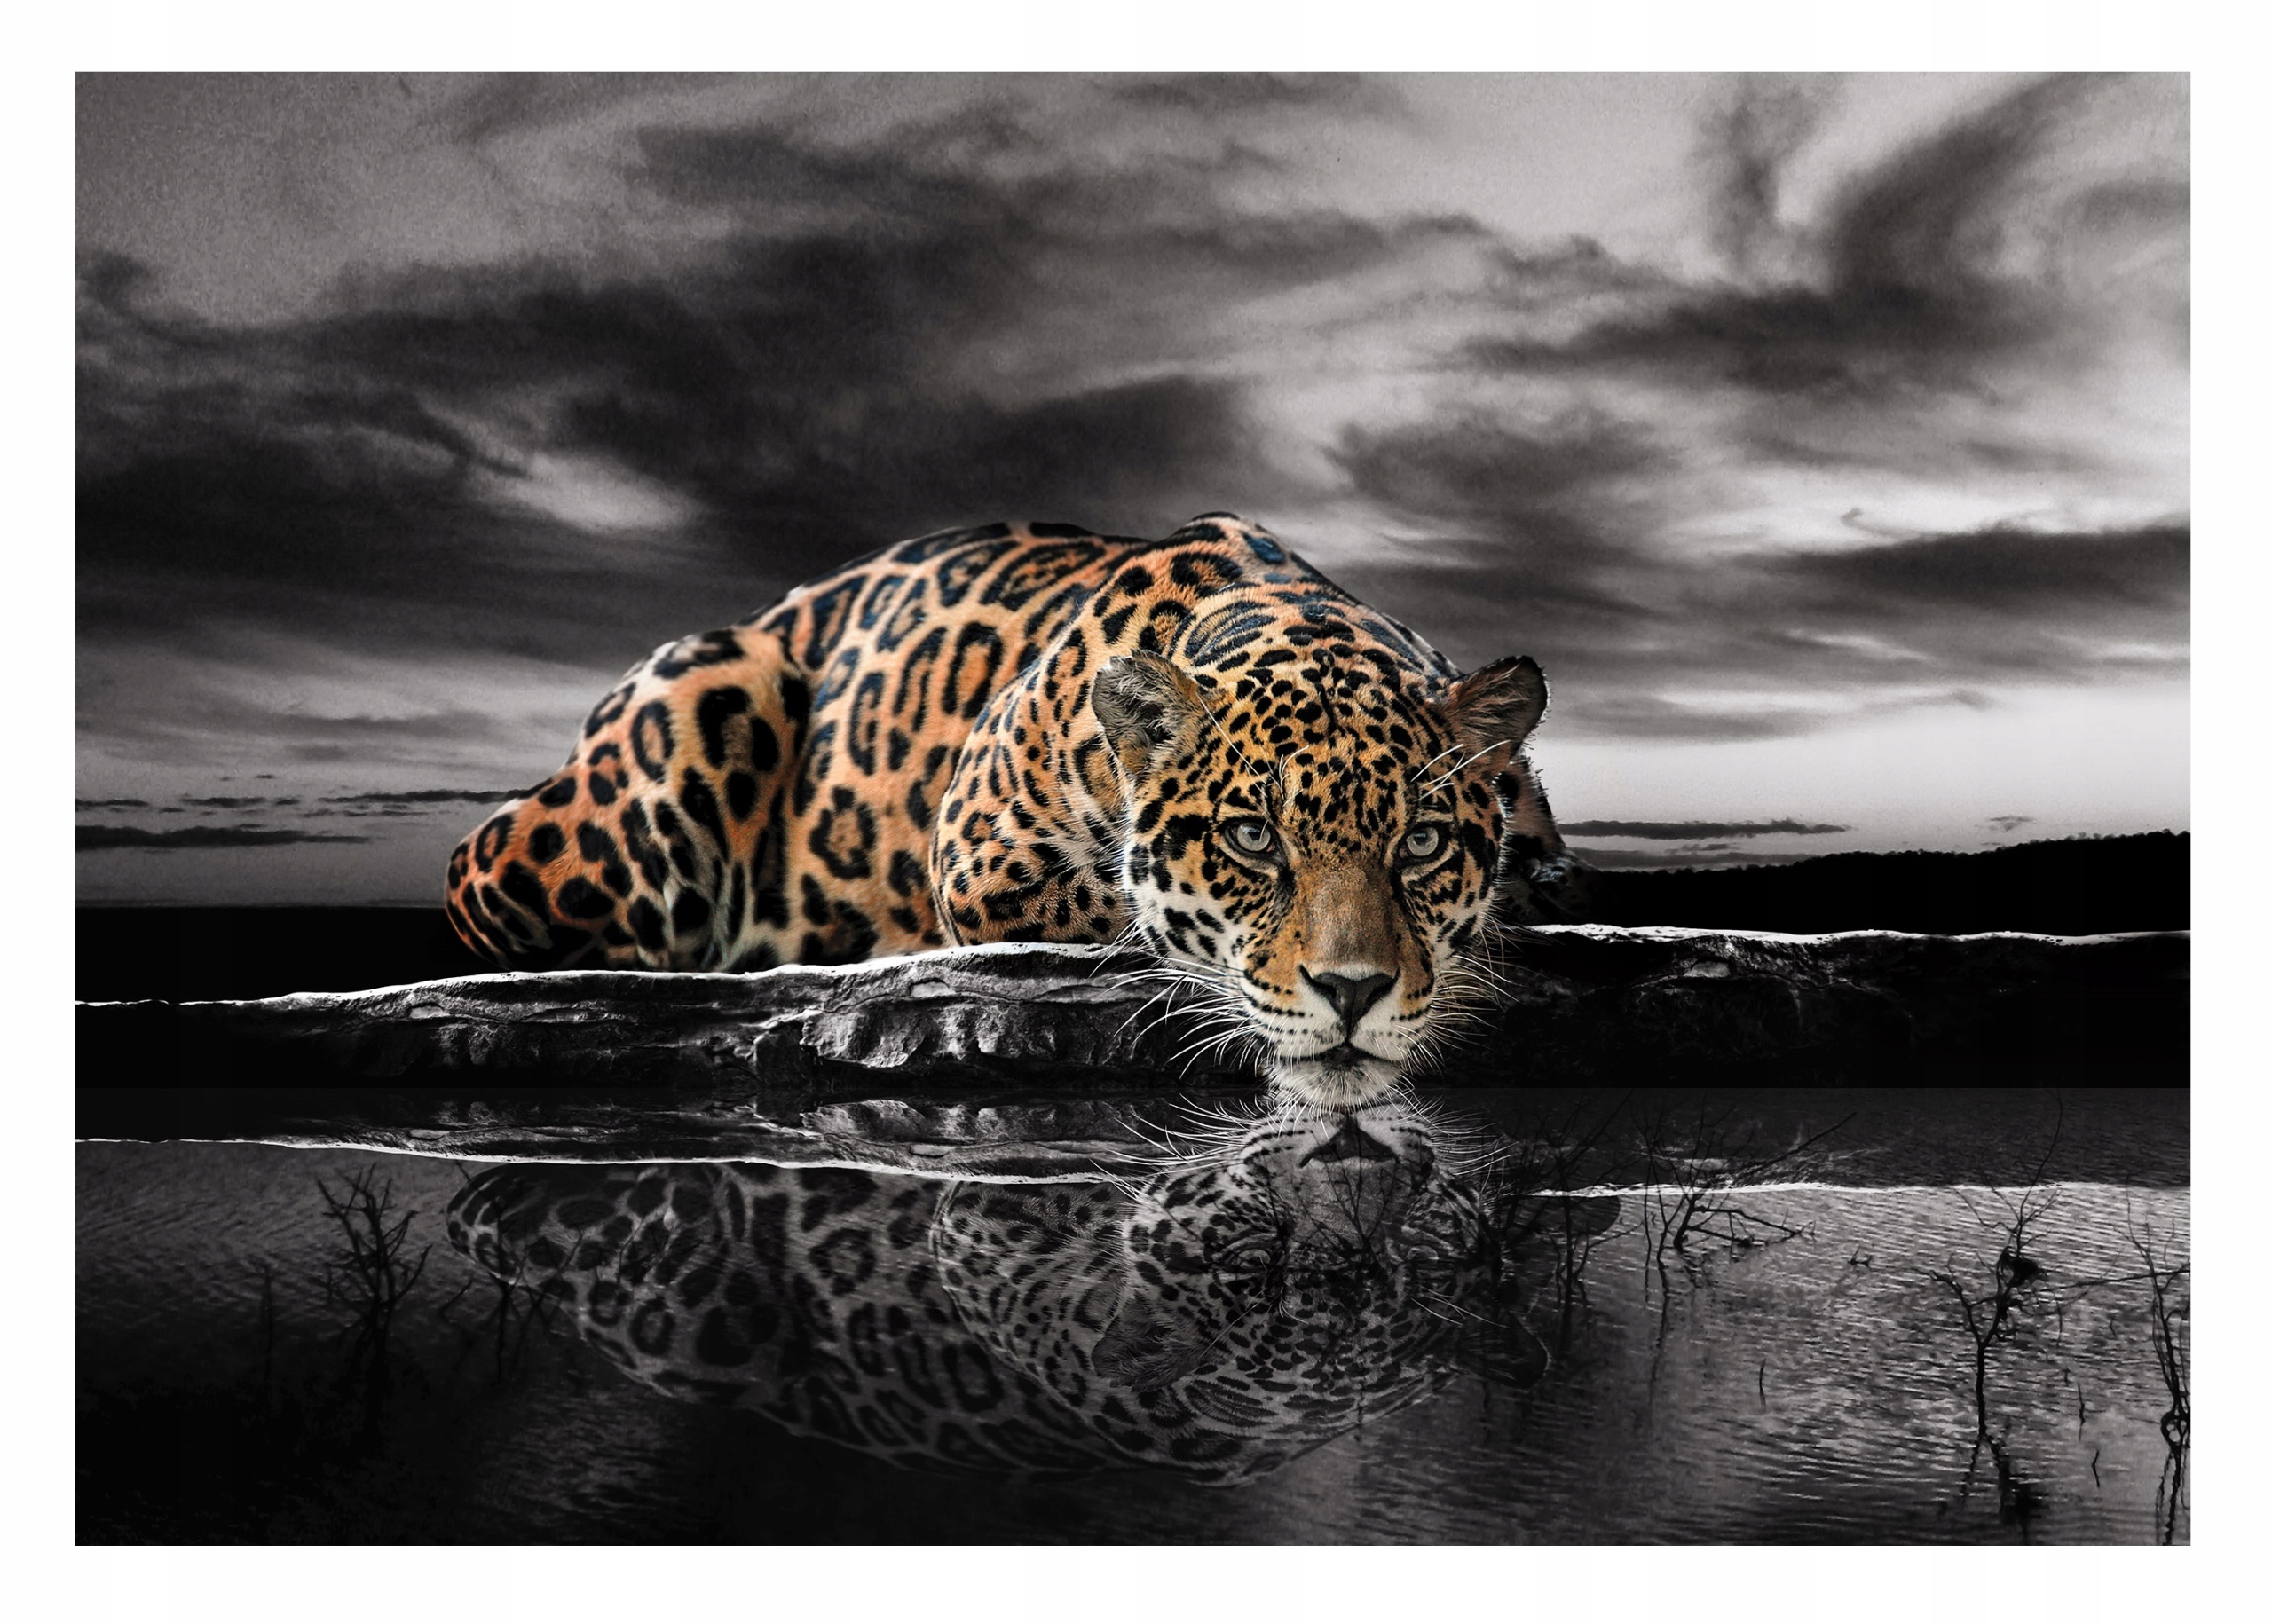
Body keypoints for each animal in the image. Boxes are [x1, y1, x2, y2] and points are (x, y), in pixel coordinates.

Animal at [445, 513, 1589, 1108]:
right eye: (1252, 840)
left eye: (1422, 843)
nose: (1353, 993)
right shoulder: (981, 857)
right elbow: (1123, 910)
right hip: (674, 732)